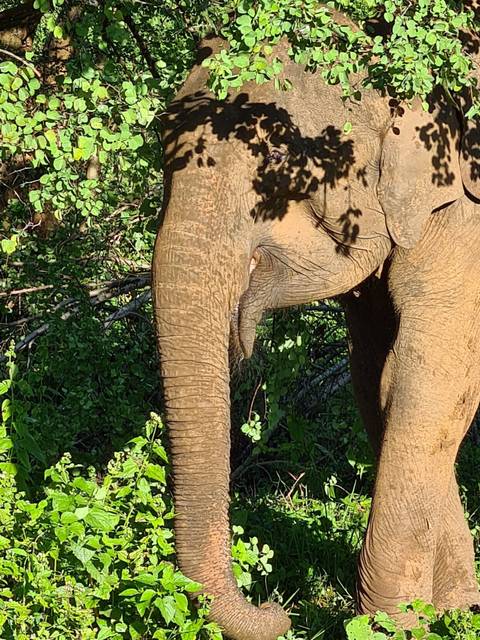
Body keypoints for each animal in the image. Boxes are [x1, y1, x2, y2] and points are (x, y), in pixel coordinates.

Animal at [152, 13, 480, 640]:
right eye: (161, 150)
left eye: (280, 161)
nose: (276, 608)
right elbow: (378, 379)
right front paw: (453, 611)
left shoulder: (466, 212)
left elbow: (431, 376)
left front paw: (391, 625)